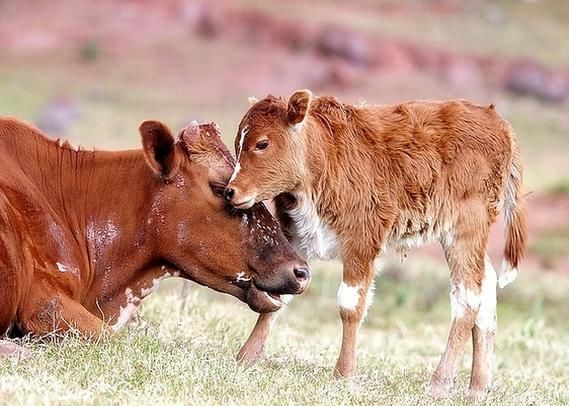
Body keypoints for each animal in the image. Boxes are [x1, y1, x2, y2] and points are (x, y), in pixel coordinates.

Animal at [225, 90, 528, 398]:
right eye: (238, 142)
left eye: (262, 143)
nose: (230, 191)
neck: (323, 161)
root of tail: (496, 121)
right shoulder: (296, 237)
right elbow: (282, 290)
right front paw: (246, 357)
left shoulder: (362, 242)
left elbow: (350, 305)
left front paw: (343, 374)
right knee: (486, 284)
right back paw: (478, 386)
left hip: (466, 228)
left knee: (467, 297)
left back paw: (440, 382)